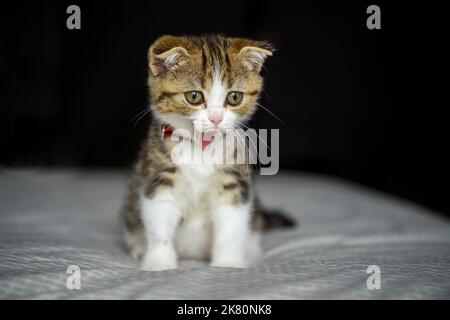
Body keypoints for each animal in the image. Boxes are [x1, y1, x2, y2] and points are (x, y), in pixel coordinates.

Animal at [121, 35, 294, 270]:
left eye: (234, 98)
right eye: (193, 96)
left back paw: (249, 249)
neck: (201, 146)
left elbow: (231, 226)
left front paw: (228, 262)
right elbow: (160, 223)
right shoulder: (159, 177)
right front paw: (159, 263)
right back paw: (139, 247)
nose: (216, 118)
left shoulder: (234, 180)